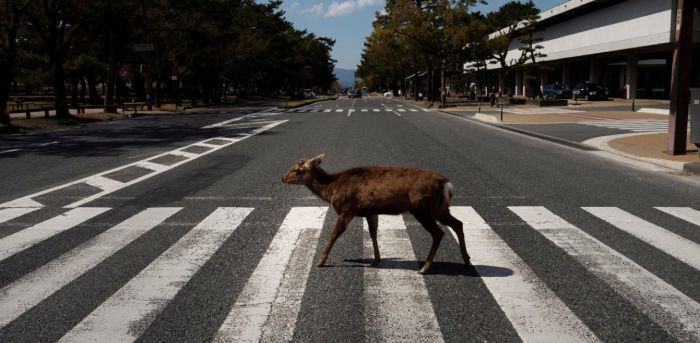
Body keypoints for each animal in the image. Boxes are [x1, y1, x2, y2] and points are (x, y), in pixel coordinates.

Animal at [280, 155, 470, 276]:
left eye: (295, 170)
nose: (282, 177)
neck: (331, 189)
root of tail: (446, 184)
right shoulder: (370, 212)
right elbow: (373, 234)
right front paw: (376, 260)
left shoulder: (346, 209)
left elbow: (334, 235)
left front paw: (320, 261)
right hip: (440, 208)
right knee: (458, 223)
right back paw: (467, 260)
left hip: (423, 208)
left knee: (439, 233)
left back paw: (424, 268)